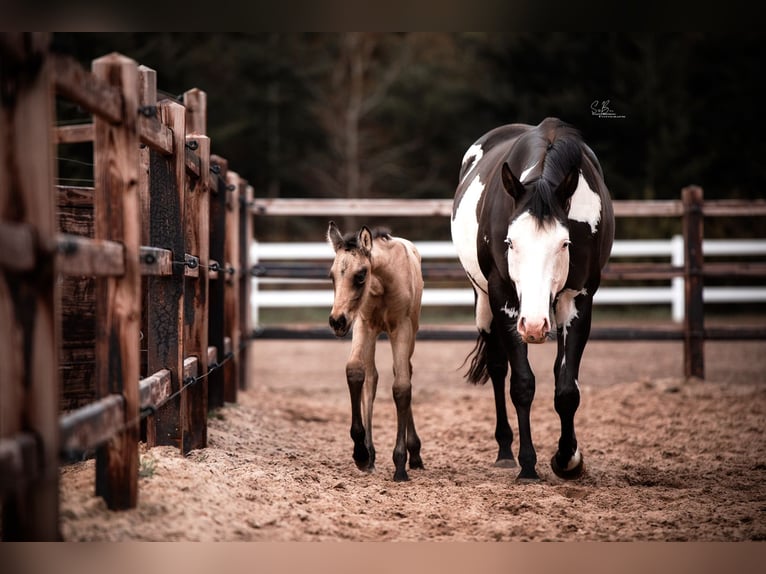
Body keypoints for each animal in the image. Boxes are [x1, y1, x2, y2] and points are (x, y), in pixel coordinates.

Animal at [326, 221, 425, 482]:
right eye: (331, 275)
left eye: (361, 275)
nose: (337, 321)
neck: (382, 284)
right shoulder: (362, 324)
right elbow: (355, 372)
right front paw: (361, 453)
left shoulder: (401, 328)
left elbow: (401, 388)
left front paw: (400, 464)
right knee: (371, 378)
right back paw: (369, 454)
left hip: (411, 331)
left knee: (404, 372)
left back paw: (415, 454)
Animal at [450, 117, 614, 481]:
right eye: (511, 242)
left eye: (564, 244)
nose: (536, 327)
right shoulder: (503, 297)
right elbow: (521, 383)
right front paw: (527, 463)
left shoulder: (579, 300)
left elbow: (567, 389)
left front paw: (568, 459)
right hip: (483, 300)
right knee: (498, 367)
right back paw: (505, 451)